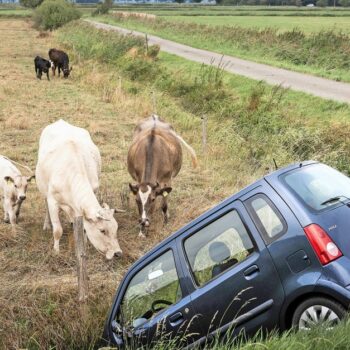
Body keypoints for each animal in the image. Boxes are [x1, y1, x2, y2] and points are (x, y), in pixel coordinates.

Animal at [36, 120, 123, 260]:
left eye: (116, 228)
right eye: (102, 230)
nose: (118, 253)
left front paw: (85, 243)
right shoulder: (53, 201)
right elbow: (57, 230)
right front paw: (56, 251)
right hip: (44, 190)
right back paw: (47, 224)